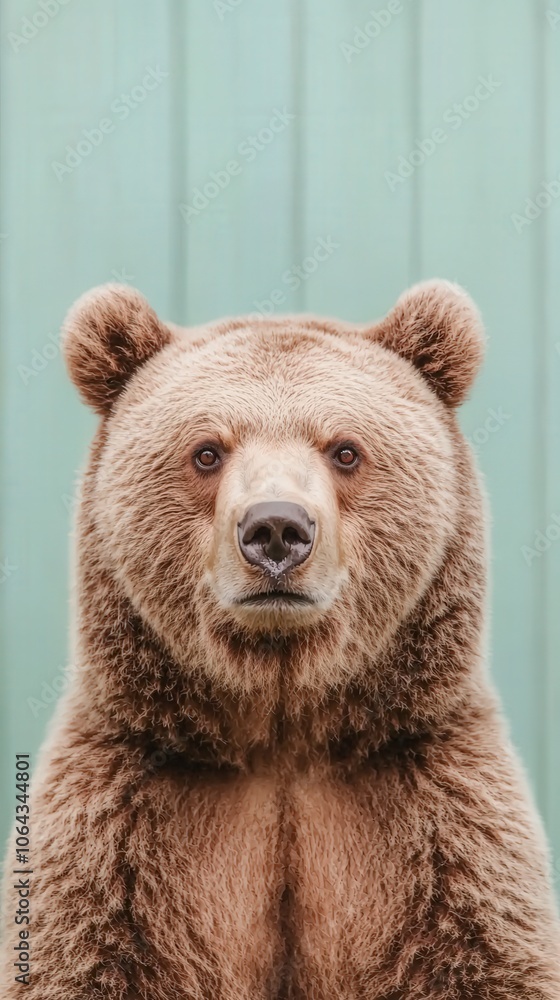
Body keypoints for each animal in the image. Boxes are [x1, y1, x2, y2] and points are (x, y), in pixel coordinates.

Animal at [1, 279, 559, 1000]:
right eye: (207, 451)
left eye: (345, 449)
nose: (275, 529)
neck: (281, 725)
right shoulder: (118, 839)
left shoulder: (442, 829)